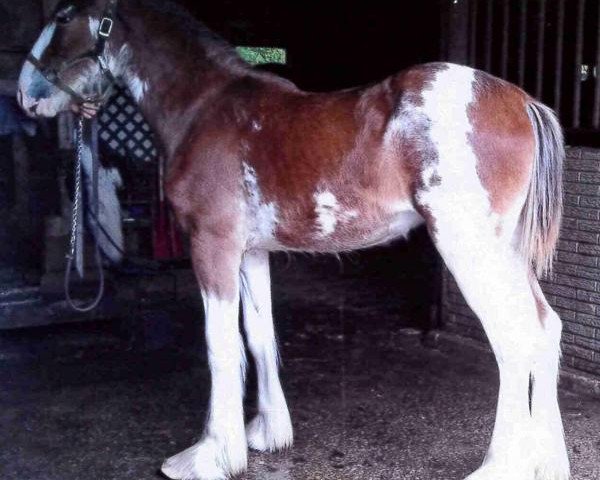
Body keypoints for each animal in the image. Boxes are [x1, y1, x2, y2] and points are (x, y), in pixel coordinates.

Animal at [16, 0, 568, 480]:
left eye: (62, 16)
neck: (204, 108)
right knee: (545, 330)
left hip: (471, 250)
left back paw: (500, 466)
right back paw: (548, 462)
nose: (24, 94)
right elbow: (259, 337)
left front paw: (209, 456)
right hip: (507, 254)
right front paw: (266, 434)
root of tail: (522, 103)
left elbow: (220, 346)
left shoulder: (212, 247)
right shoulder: (251, 253)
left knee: (514, 340)